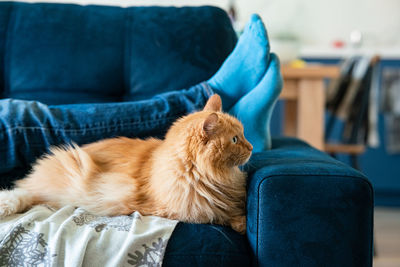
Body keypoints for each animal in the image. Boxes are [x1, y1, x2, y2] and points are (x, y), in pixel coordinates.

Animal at [0, 95, 253, 233]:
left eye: (243, 134)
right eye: (234, 139)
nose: (251, 147)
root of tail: (31, 183)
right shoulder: (179, 210)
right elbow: (216, 214)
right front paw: (240, 222)